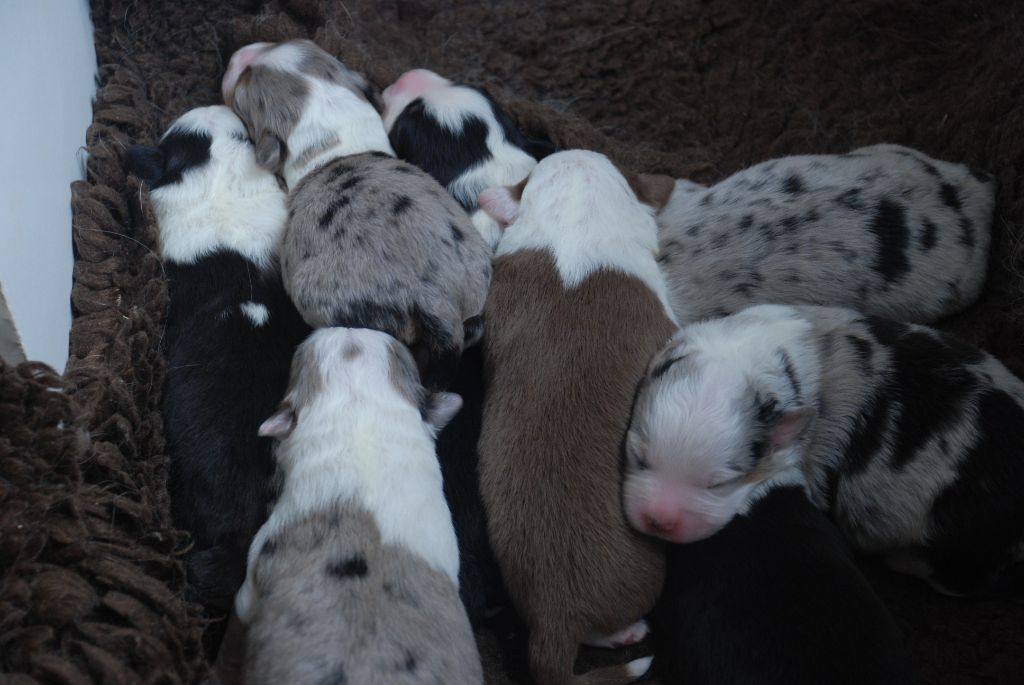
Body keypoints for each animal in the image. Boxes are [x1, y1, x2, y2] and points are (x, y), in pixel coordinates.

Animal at [622, 301, 1024, 593]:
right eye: (639, 458)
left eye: (718, 484)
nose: (658, 520)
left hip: (962, 535)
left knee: (962, 578)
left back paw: (902, 561)